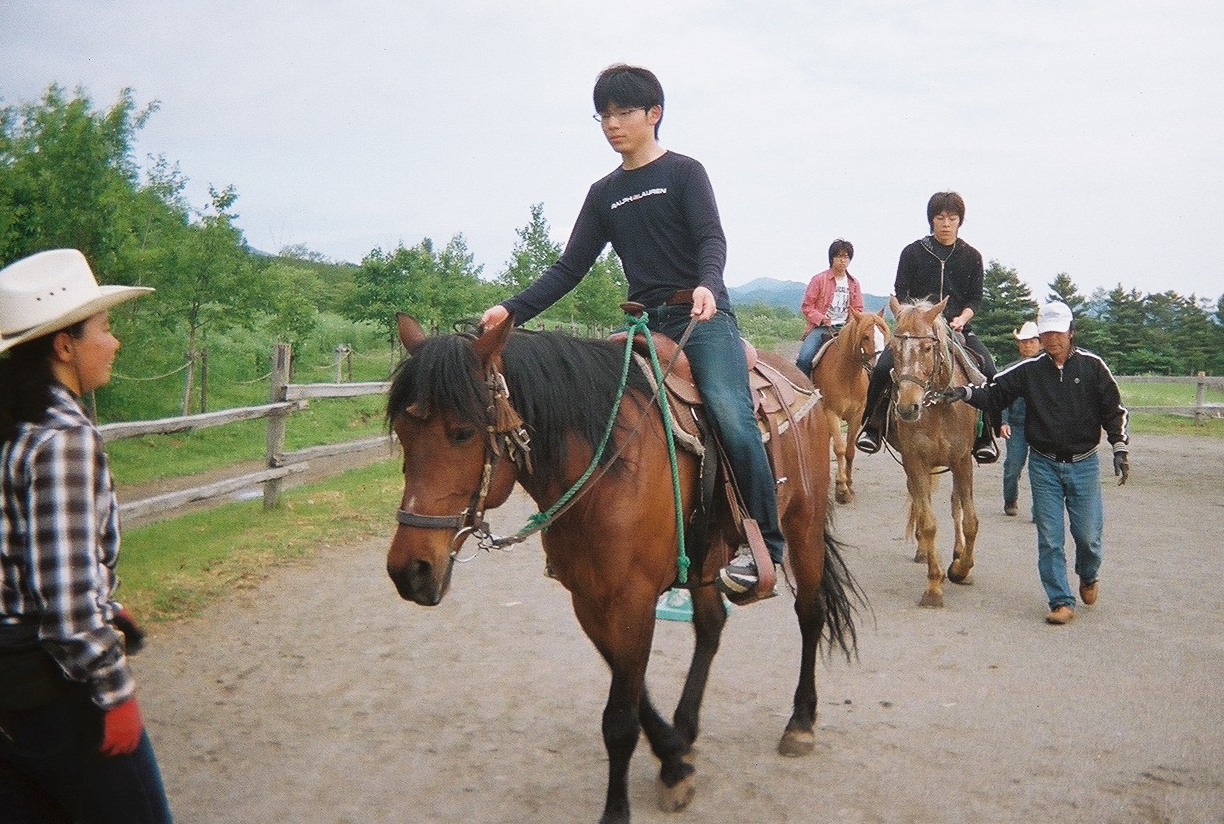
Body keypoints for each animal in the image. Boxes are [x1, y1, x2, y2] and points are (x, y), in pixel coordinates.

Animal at [384, 313, 859, 824]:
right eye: (403, 432)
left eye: (462, 432)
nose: (410, 571)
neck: (606, 465)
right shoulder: (590, 600)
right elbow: (634, 696)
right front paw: (674, 761)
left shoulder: (633, 599)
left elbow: (619, 720)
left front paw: (621, 806)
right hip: (707, 555)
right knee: (711, 626)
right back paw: (687, 728)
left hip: (803, 528)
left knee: (810, 614)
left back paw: (800, 723)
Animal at [808, 308, 890, 504]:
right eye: (866, 336)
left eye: (884, 334)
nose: (879, 364)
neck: (847, 375)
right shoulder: (831, 413)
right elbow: (839, 448)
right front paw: (842, 489)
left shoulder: (857, 415)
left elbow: (850, 450)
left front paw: (849, 485)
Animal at [885, 296, 980, 608]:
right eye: (893, 349)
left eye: (927, 348)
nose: (907, 408)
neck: (938, 407)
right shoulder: (915, 461)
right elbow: (928, 522)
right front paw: (933, 586)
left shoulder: (962, 460)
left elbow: (970, 520)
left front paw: (961, 569)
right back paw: (925, 552)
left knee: (956, 505)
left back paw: (958, 555)